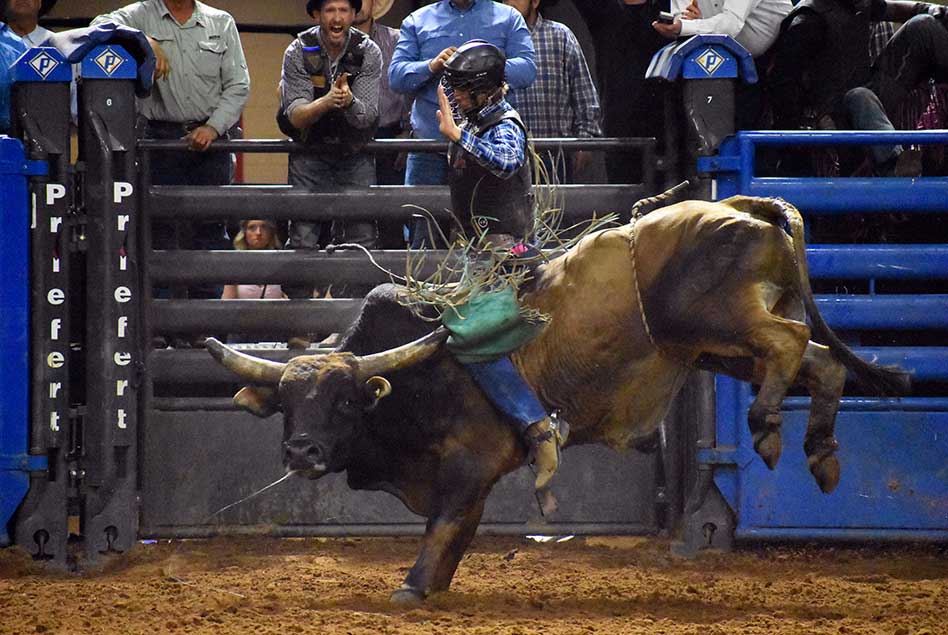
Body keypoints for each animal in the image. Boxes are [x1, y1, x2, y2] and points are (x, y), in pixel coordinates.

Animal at [207, 196, 912, 604]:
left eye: (346, 402)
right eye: (289, 404)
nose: (302, 451)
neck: (416, 377)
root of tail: (745, 208)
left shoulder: (470, 462)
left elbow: (445, 524)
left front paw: (412, 588)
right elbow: (457, 533)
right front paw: (434, 586)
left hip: (718, 320)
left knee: (789, 342)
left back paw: (766, 425)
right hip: (716, 345)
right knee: (820, 363)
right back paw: (817, 452)